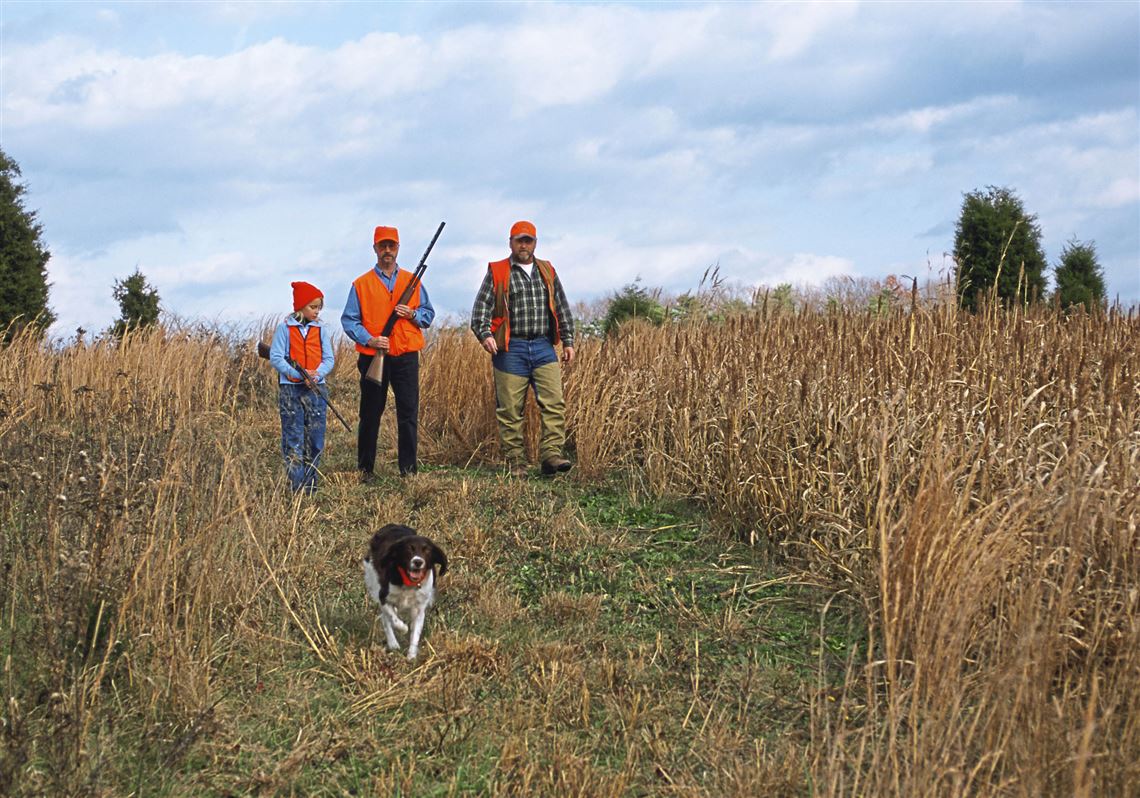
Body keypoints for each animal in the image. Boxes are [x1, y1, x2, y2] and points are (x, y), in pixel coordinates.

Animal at [362, 524, 446, 661]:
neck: (409, 583)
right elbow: (393, 619)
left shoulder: (419, 608)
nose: (418, 562)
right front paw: (403, 629)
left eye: (426, 550)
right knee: (385, 619)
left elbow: (415, 633)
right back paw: (393, 643)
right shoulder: (383, 597)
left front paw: (411, 656)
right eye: (409, 549)